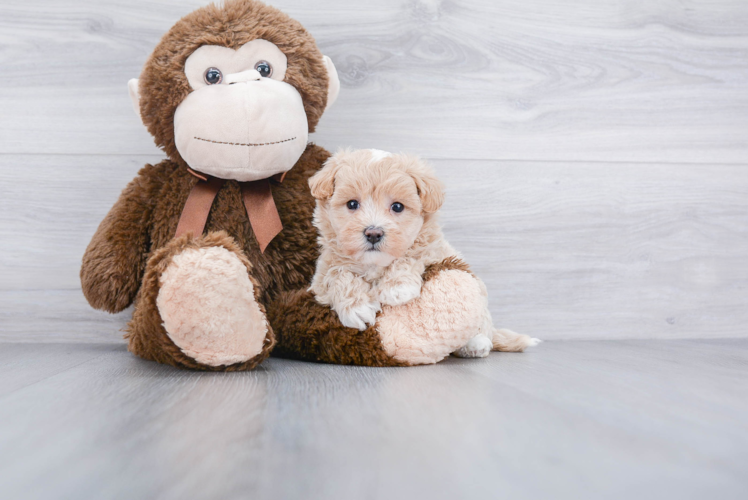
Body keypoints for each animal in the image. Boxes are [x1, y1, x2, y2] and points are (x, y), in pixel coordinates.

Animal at [306, 150, 540, 358]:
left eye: (397, 207)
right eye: (352, 204)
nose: (373, 233)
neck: (375, 265)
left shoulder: (435, 250)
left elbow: (413, 255)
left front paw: (397, 287)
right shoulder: (320, 278)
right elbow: (337, 274)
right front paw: (357, 307)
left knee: (482, 326)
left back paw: (476, 343)